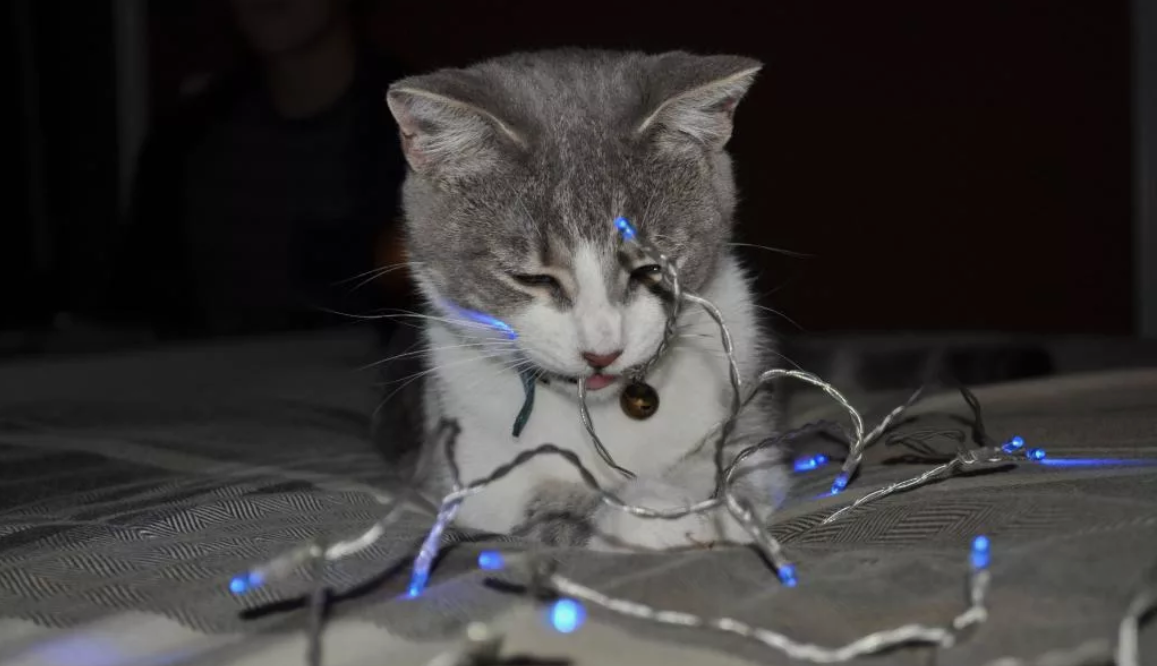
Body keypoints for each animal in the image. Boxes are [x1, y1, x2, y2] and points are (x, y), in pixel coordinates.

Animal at [380, 49, 789, 551]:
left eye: (652, 268)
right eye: (533, 277)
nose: (603, 352)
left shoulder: (749, 406)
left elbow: (744, 457)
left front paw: (720, 500)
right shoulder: (465, 472)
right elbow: (547, 501)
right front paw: (653, 510)